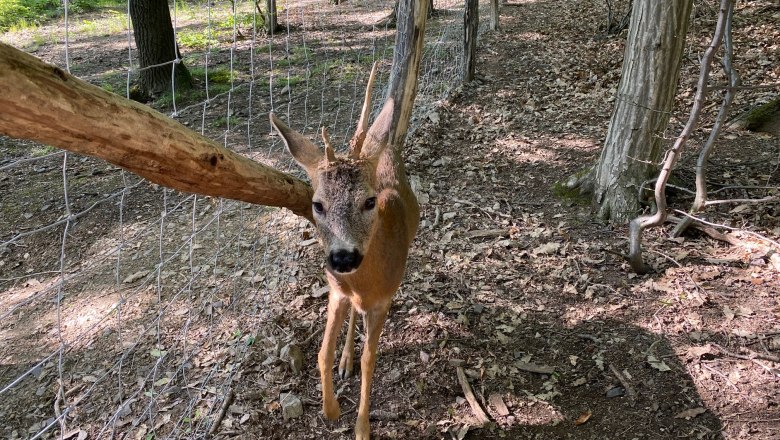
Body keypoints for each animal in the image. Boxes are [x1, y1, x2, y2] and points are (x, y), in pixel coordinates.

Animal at [272, 62, 424, 440]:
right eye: (317, 204)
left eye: (369, 201)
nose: (343, 257)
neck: (366, 281)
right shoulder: (336, 290)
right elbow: (321, 353)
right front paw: (331, 409)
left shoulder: (383, 300)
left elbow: (372, 361)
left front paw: (362, 428)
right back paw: (345, 362)